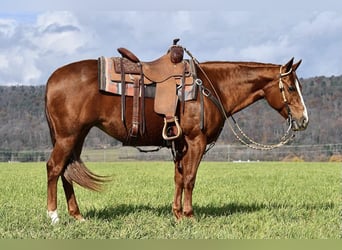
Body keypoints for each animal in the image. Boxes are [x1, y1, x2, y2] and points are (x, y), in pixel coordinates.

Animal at [44, 56, 308, 223]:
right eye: (290, 88)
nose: (303, 119)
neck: (212, 87)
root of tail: (51, 79)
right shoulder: (195, 141)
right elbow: (190, 178)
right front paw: (190, 215)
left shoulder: (180, 144)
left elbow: (179, 178)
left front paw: (177, 213)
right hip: (68, 136)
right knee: (54, 168)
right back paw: (53, 216)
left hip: (77, 136)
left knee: (67, 172)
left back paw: (77, 215)